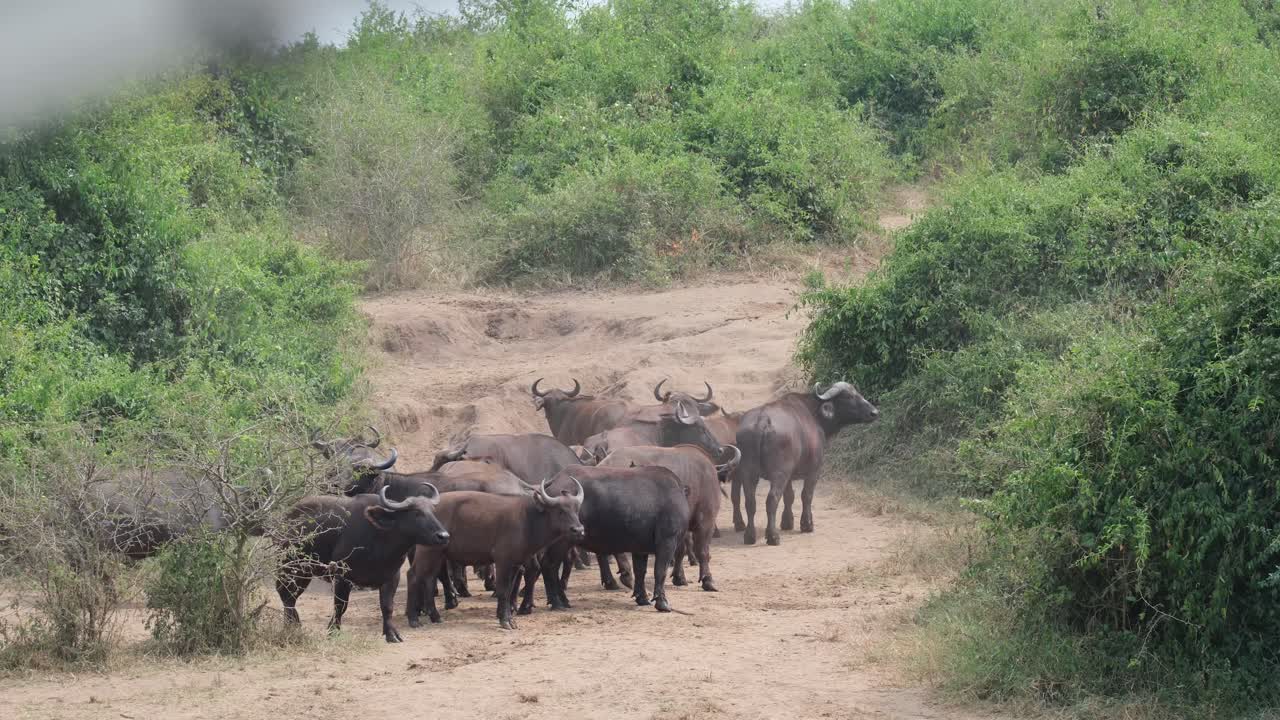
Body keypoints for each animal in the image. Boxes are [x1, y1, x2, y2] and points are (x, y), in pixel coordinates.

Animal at [733, 382, 879, 545]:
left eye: (857, 392)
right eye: (848, 396)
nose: (874, 412)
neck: (815, 414)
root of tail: (762, 420)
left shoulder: (789, 476)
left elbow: (789, 496)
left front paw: (787, 522)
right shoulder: (814, 471)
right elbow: (806, 495)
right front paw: (807, 524)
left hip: (748, 471)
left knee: (750, 501)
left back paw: (749, 536)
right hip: (779, 473)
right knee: (772, 499)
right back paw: (773, 536)